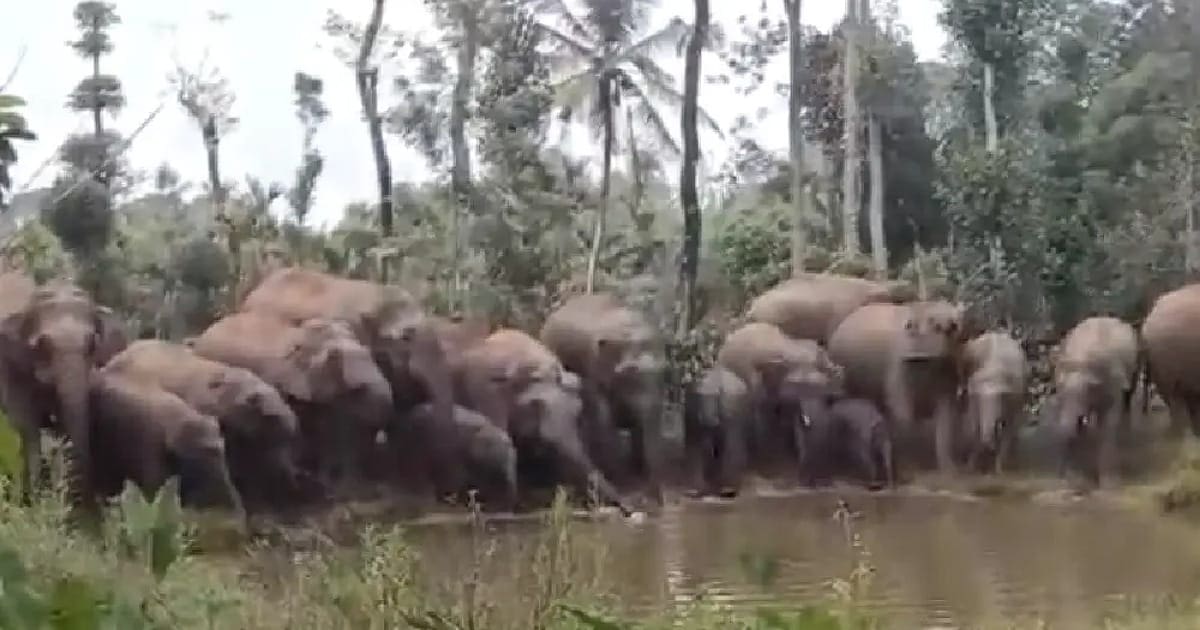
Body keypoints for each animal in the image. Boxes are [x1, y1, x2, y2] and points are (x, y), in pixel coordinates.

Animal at [540, 293, 666, 503]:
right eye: (628, 373)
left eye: (665, 372)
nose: (657, 501)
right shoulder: (592, 371)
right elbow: (603, 421)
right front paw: (620, 478)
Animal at [716, 321, 841, 485]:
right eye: (794, 387)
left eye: (823, 386)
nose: (810, 481)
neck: (793, 351)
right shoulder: (759, 386)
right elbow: (765, 422)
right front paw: (773, 473)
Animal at [827, 300, 968, 477]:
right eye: (932, 323)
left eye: (955, 324)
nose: (952, 324)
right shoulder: (897, 367)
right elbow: (902, 411)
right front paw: (911, 467)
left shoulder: (948, 372)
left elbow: (946, 415)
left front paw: (950, 470)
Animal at [960, 331, 1028, 474]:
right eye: (978, 397)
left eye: (1001, 397)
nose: (989, 446)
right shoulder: (972, 396)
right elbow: (975, 426)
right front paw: (970, 467)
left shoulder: (1014, 398)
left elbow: (1009, 428)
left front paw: (1000, 469)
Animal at [1052, 316, 1139, 488]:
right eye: (1059, 387)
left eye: (1089, 387)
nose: (1061, 477)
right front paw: (1078, 482)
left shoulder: (1112, 381)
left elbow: (1108, 423)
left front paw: (1111, 485)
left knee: (1127, 397)